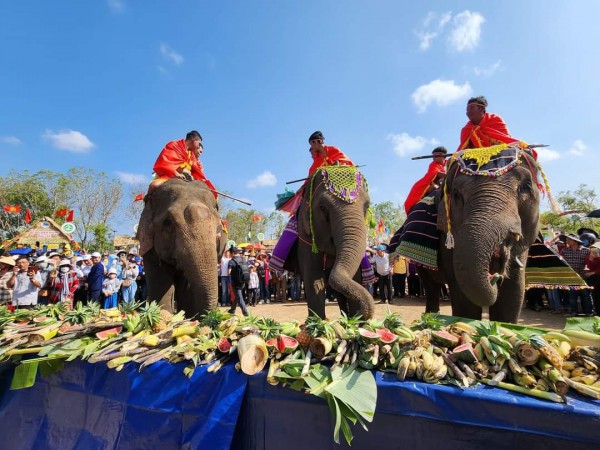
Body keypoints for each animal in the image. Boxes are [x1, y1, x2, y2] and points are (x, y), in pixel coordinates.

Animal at [136, 178, 225, 318]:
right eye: (168, 222)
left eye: (218, 229)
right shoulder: (149, 246)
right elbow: (160, 282)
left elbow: (186, 286)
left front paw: (187, 317)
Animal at [290, 166, 376, 320]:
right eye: (322, 208)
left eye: (367, 206)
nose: (362, 313)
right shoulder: (305, 236)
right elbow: (314, 281)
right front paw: (317, 323)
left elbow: (355, 278)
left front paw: (354, 322)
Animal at [412, 146, 544, 322]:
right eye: (456, 194)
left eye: (526, 185)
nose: (494, 277)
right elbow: (464, 298)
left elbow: (513, 294)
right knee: (430, 286)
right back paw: (429, 317)